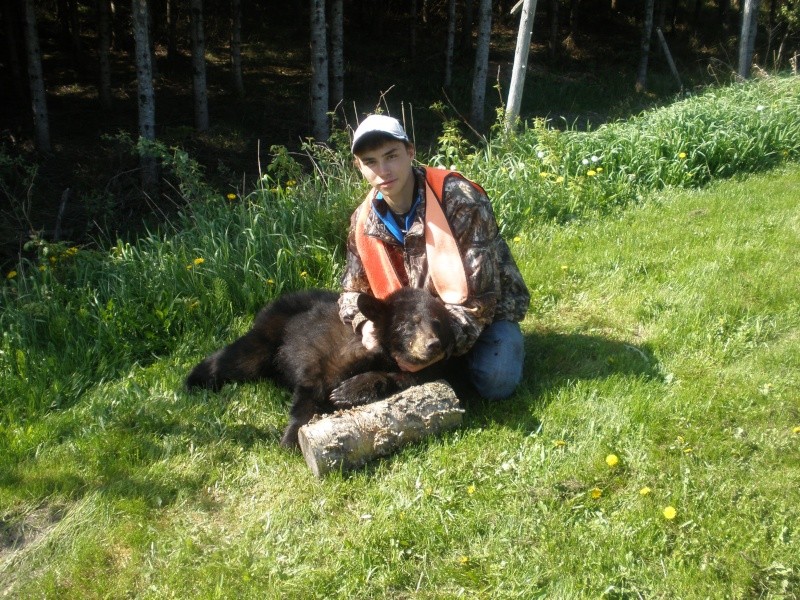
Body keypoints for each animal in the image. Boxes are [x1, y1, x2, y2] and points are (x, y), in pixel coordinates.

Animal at [184, 288, 454, 448]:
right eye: (409, 324)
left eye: (438, 323)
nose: (433, 345)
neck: (383, 353)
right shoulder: (331, 355)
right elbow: (312, 388)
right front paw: (291, 439)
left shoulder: (421, 372)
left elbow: (401, 379)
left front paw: (351, 390)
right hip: (270, 332)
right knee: (240, 357)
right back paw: (194, 380)